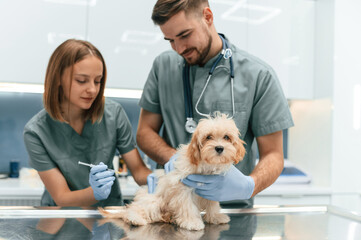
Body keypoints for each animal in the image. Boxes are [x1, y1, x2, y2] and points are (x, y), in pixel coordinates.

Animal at [98, 112, 245, 231]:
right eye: (208, 137)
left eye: (226, 137)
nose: (219, 148)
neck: (205, 167)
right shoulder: (182, 189)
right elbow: (187, 207)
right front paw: (192, 222)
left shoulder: (212, 190)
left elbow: (213, 205)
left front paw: (215, 217)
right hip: (153, 201)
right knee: (135, 209)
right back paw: (135, 219)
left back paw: (169, 217)